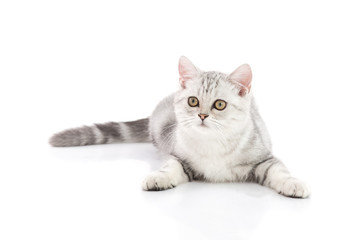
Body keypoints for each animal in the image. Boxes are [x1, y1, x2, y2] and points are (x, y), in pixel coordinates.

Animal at [49, 56, 310, 199]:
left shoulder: (264, 158)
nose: (202, 115)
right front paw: (158, 177)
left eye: (220, 104)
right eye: (193, 101)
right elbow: (170, 168)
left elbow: (280, 171)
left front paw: (294, 183)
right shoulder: (180, 157)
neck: (214, 145)